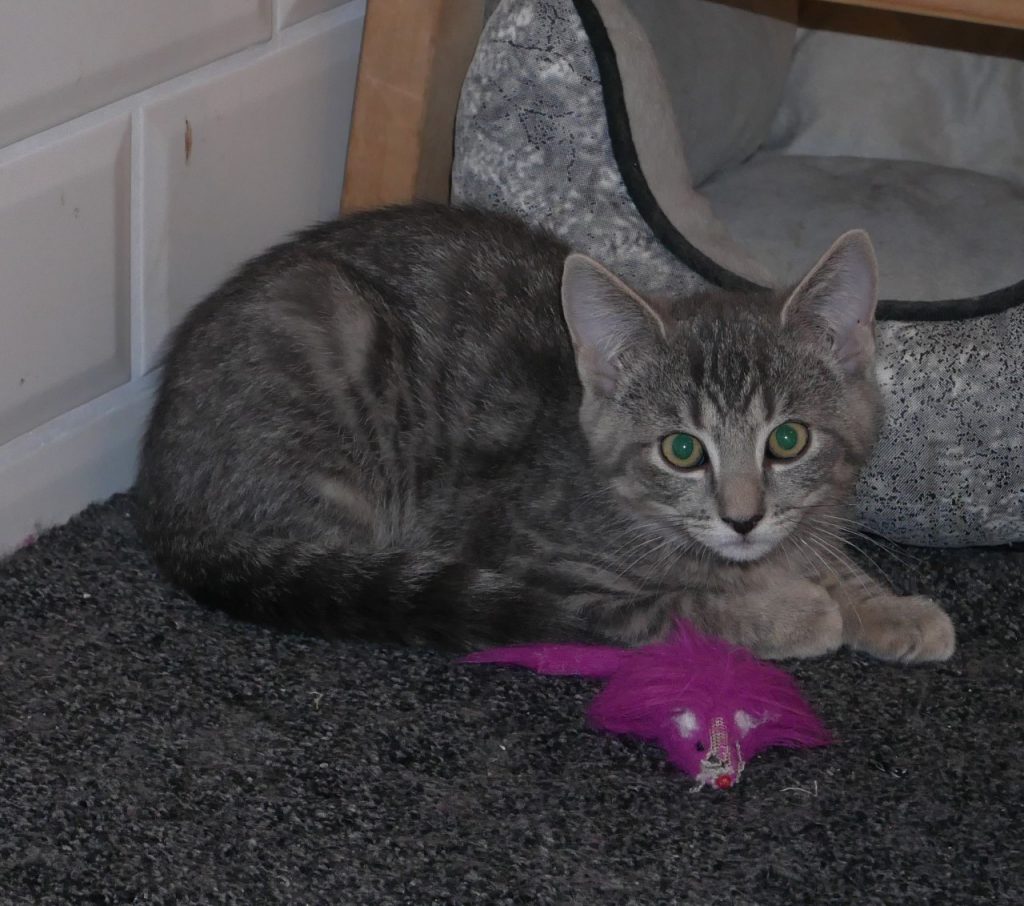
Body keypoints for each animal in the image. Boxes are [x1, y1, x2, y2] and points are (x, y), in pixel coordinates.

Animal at [135, 203, 955, 662]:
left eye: (788, 441)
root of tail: (165, 496)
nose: (744, 518)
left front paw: (886, 605)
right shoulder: (523, 557)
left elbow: (819, 550)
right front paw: (789, 611)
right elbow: (676, 601)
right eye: (682, 450)